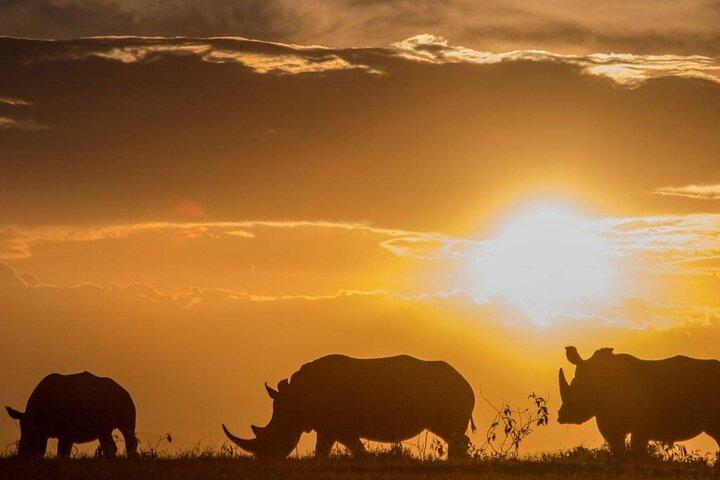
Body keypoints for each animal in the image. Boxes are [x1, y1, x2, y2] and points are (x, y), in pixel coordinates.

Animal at [5, 371, 138, 457]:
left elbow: (63, 451)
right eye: (22, 429)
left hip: (125, 403)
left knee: (127, 432)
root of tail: (125, 390)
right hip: (105, 418)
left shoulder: (66, 430)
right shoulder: (45, 432)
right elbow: (43, 449)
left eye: (31, 432)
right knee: (105, 437)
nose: (22, 454)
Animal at [223, 354, 476, 459]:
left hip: (450, 392)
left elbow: (343, 447)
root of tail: (466, 382)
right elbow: (330, 448)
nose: (265, 459)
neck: (295, 400)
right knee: (448, 433)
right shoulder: (329, 425)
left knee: (450, 432)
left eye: (276, 435)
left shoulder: (336, 425)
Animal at [558, 346, 720, 457]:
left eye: (578, 391)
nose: (562, 416)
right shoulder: (608, 418)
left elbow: (637, 449)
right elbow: (617, 448)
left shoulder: (642, 424)